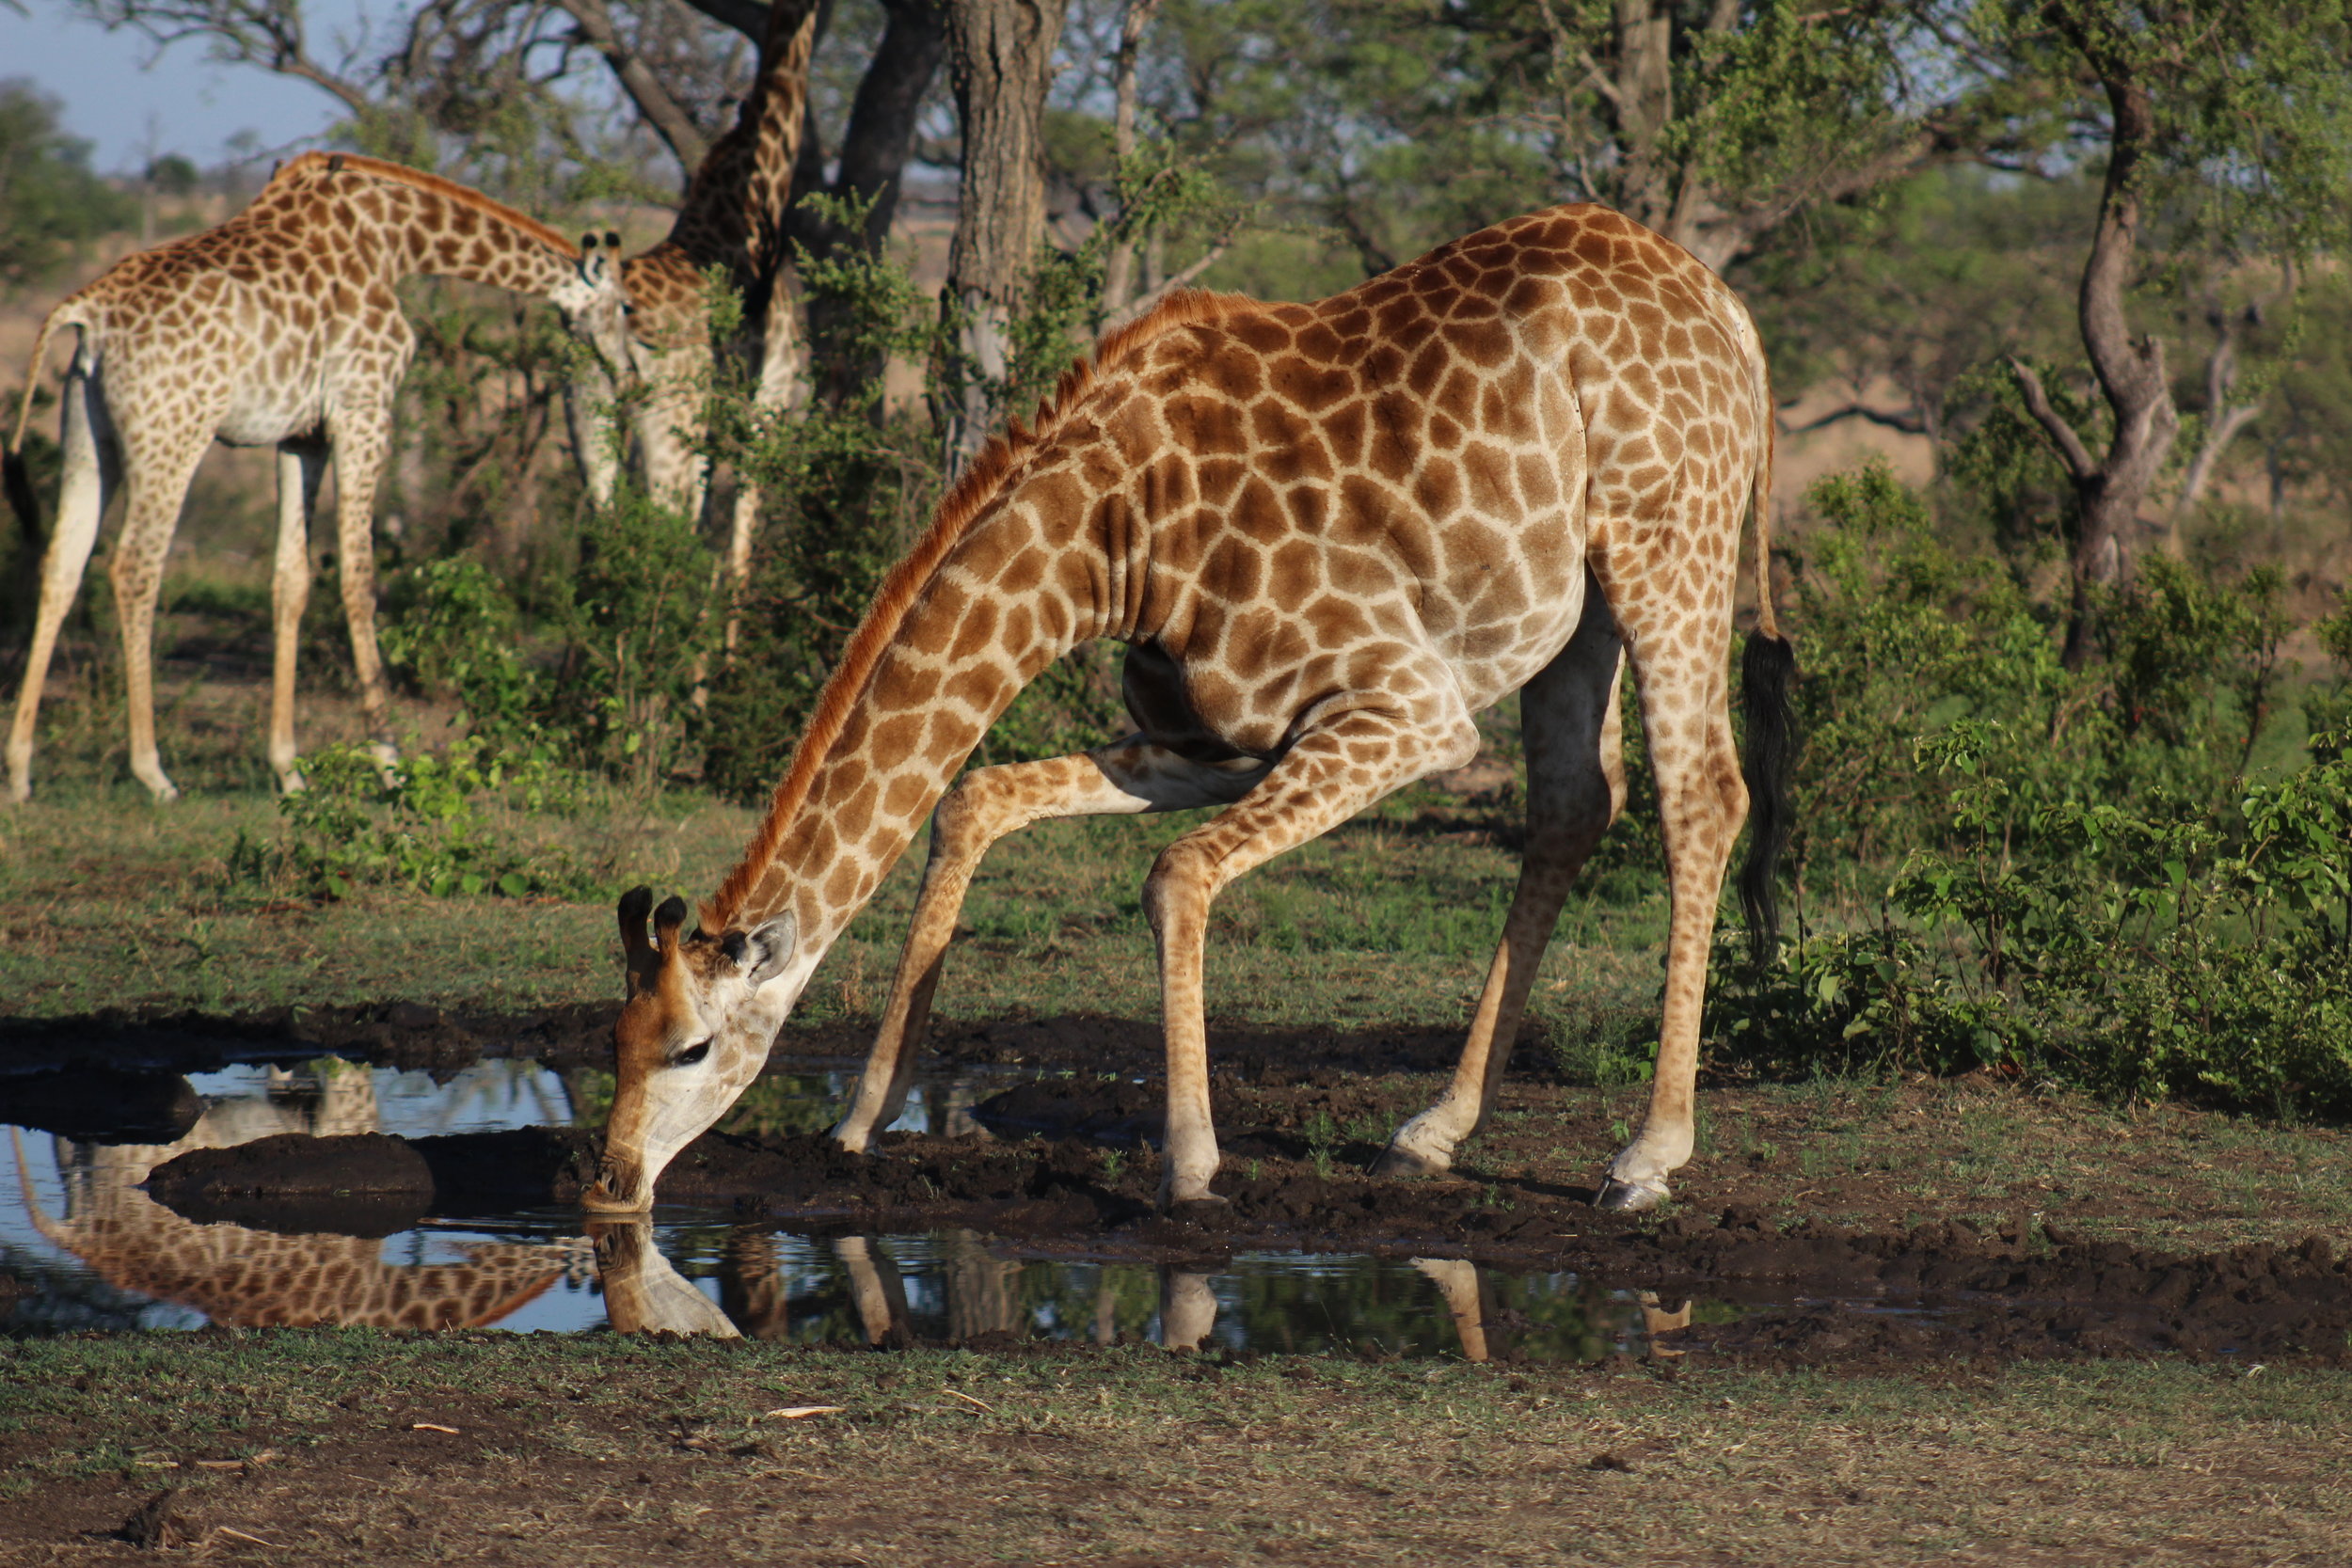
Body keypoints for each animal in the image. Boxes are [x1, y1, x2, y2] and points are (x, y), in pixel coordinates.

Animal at [2, 152, 632, 802]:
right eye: (626, 307)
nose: (627, 372)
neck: (395, 239)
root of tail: (89, 310)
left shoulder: (301, 435)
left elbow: (291, 579)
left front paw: (289, 769)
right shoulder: (364, 407)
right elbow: (358, 577)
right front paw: (388, 760)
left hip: (88, 431)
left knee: (62, 562)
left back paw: (19, 770)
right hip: (173, 437)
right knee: (133, 568)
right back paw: (153, 771)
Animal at [583, 203, 1796, 1217]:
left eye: (689, 1047)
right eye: (614, 1037)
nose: (609, 1183)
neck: (1112, 538)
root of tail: (1733, 314)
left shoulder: (1405, 709)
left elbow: (1173, 876)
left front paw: (1192, 1164)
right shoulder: (1212, 739)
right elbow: (975, 797)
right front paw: (858, 1119)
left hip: (1668, 544)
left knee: (1702, 795)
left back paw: (1645, 1156)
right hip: (1571, 604)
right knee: (1573, 804)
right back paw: (1431, 1132)